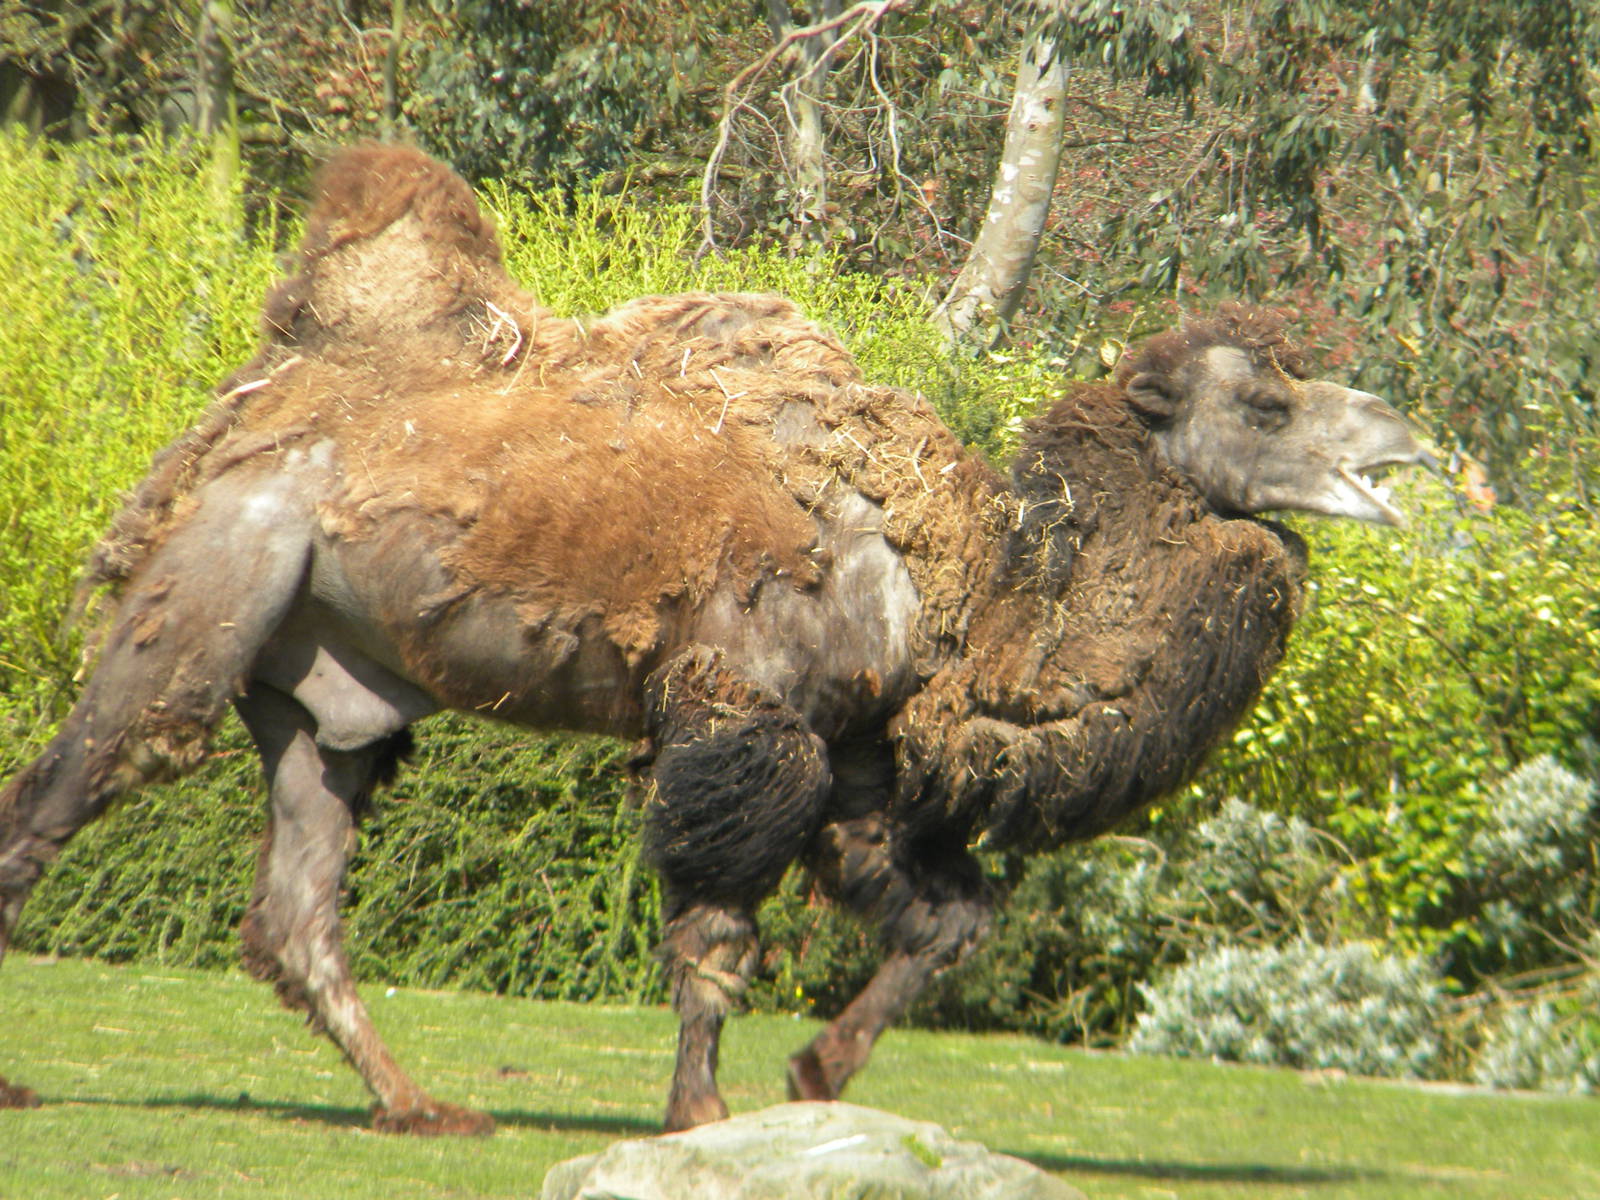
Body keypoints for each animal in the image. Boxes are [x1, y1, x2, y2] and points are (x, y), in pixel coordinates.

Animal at [0, 145, 1429, 1134]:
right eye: (1265, 402)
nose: (1405, 441)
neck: (968, 593)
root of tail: (247, 409)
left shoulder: (856, 752)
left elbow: (948, 920)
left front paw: (817, 1071)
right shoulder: (748, 712)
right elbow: (717, 932)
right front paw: (699, 1115)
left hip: (328, 687)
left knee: (296, 905)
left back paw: (422, 1108)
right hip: (212, 586)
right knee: (69, 789)